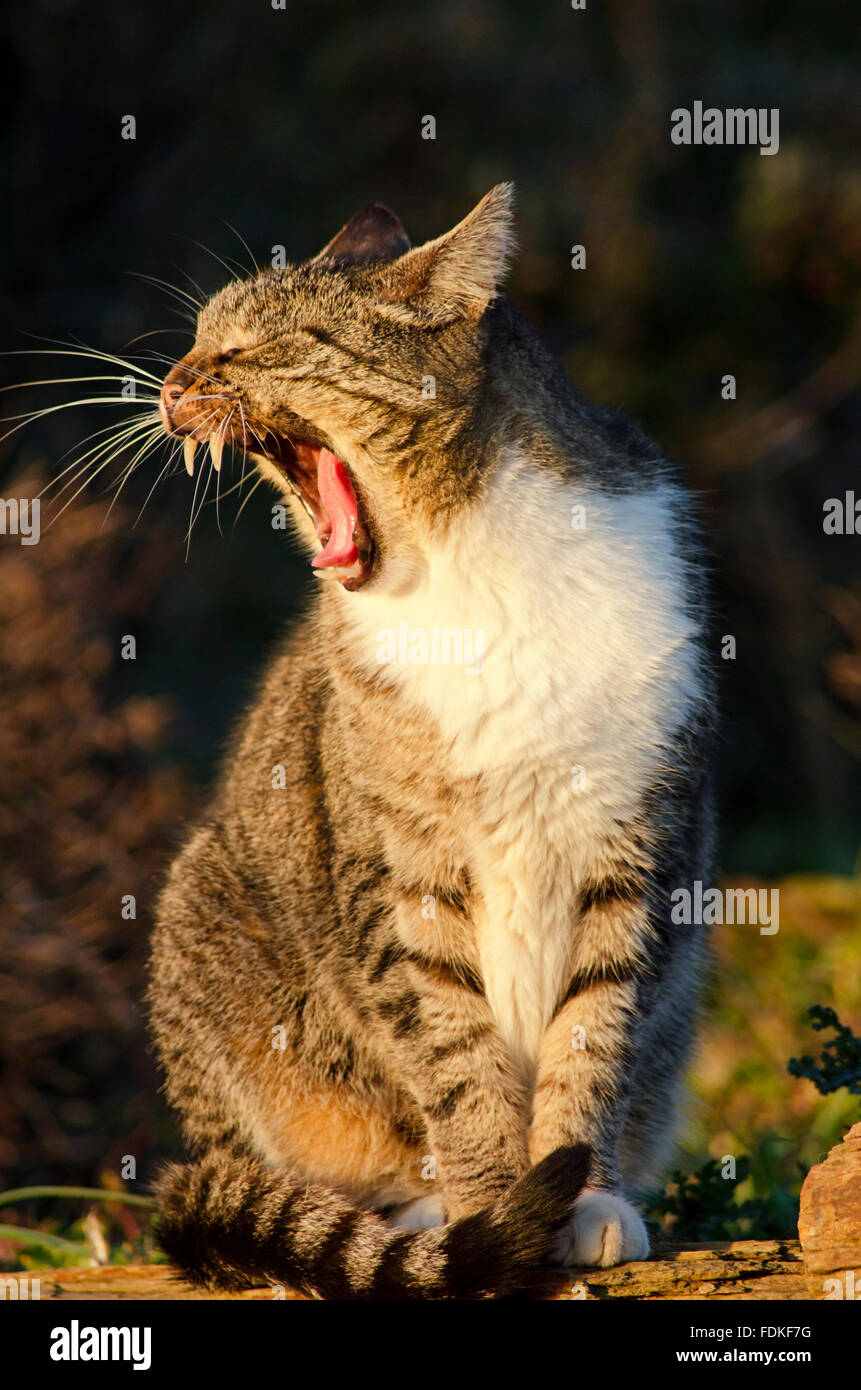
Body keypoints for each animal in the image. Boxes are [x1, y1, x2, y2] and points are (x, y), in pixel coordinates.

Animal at [150, 179, 723, 1295]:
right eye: (197, 340)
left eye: (253, 346)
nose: (167, 384)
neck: (468, 565)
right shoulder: (398, 875)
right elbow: (452, 1058)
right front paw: (495, 1213)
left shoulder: (638, 843)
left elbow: (595, 1031)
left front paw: (584, 1195)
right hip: (200, 908)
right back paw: (398, 1222)